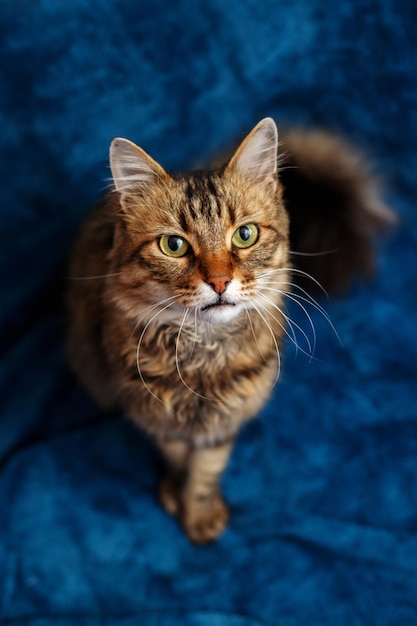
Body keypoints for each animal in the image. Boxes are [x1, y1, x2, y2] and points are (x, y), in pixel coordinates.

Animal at [66, 118, 392, 540]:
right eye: (173, 245)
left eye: (245, 235)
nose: (220, 281)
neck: (204, 359)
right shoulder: (159, 417)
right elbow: (178, 459)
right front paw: (177, 495)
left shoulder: (224, 422)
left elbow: (205, 472)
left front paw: (201, 515)